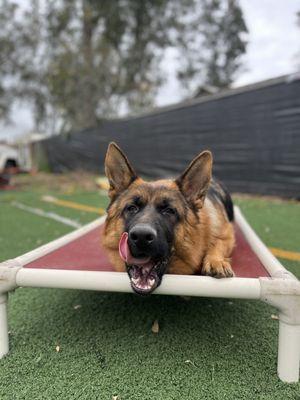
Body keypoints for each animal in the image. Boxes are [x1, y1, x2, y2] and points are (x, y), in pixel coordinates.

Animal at [104, 143, 236, 294]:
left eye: (169, 211)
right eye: (132, 208)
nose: (141, 236)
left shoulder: (228, 235)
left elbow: (217, 243)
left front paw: (216, 261)